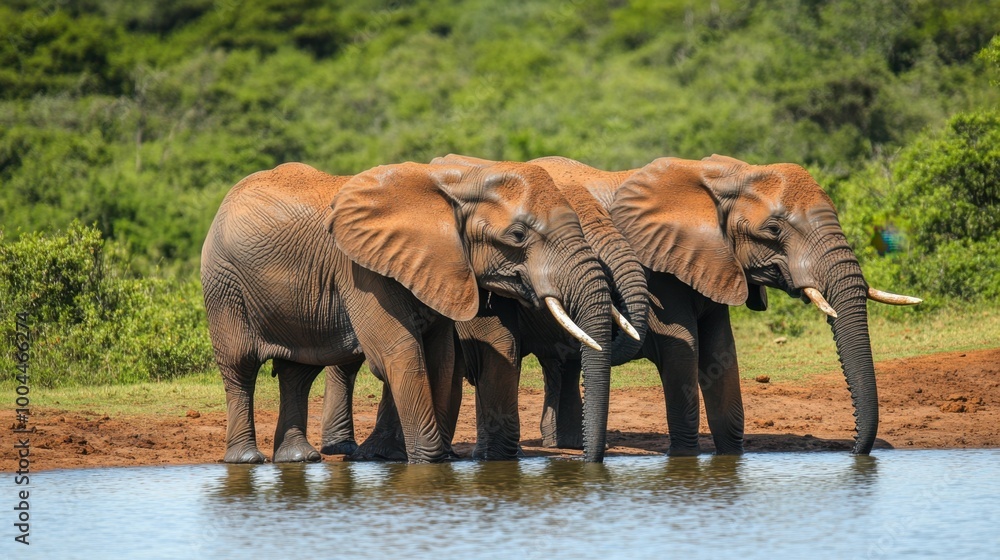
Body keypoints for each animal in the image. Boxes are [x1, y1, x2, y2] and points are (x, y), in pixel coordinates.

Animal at [201, 160, 617, 464]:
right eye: (517, 236)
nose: (588, 460)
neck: (456, 182)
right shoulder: (361, 271)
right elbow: (399, 353)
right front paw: (428, 464)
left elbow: (440, 359)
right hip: (223, 285)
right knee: (240, 366)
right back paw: (246, 460)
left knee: (296, 371)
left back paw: (299, 459)